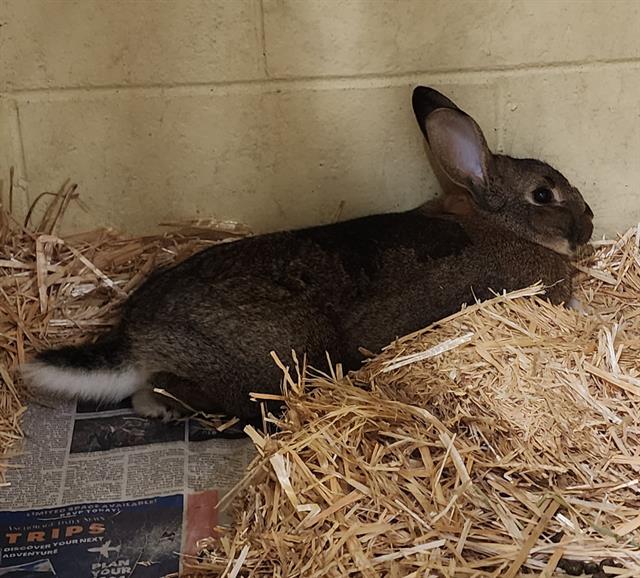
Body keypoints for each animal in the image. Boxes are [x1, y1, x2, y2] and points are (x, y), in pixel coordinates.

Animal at [21, 86, 596, 418]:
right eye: (543, 195)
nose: (589, 225)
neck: (496, 224)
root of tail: (137, 341)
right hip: (270, 364)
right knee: (170, 391)